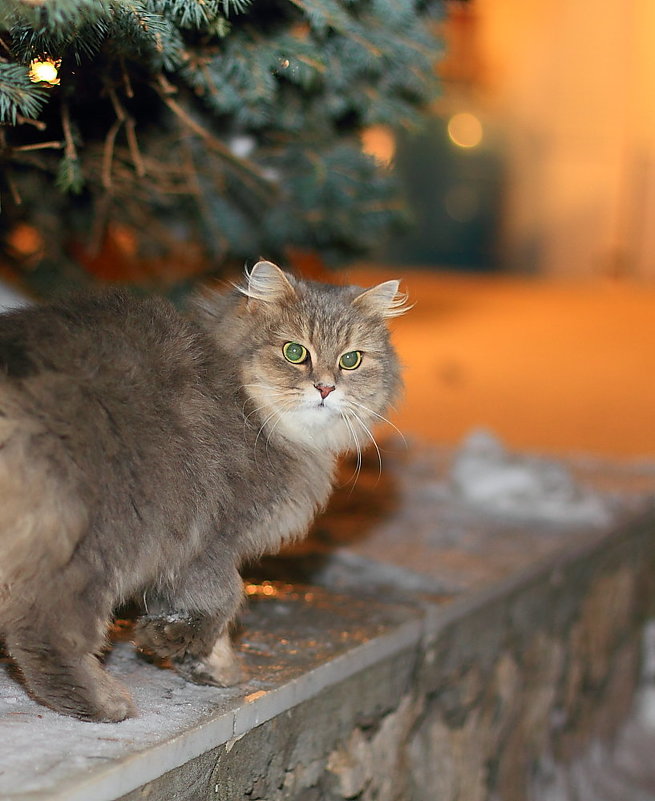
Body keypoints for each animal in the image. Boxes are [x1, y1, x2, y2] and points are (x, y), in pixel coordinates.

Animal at [0, 260, 410, 720]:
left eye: (351, 360)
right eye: (295, 352)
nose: (325, 388)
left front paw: (209, 663)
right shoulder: (212, 539)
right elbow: (225, 599)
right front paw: (180, 644)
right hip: (98, 543)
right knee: (45, 632)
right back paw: (104, 702)